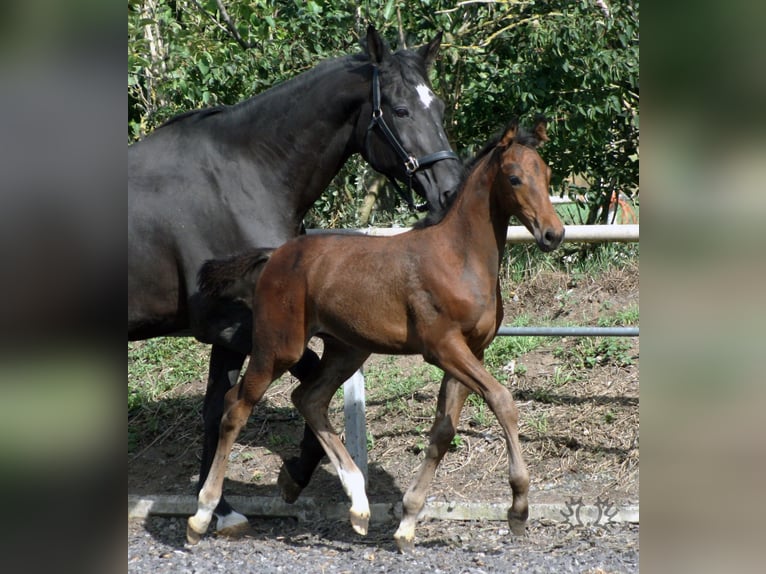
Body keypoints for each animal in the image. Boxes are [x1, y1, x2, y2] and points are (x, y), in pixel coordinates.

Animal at [127, 27, 462, 536]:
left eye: (439, 107)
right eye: (401, 110)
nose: (451, 189)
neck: (244, 177)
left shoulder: (231, 332)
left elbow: (218, 408)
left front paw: (218, 508)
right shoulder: (241, 327)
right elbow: (308, 386)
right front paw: (298, 477)